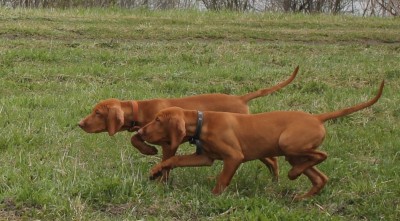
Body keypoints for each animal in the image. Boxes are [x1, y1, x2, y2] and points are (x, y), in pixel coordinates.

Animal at [77, 65, 296, 180]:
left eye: (97, 113)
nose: (79, 124)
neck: (143, 109)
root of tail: (240, 98)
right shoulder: (144, 131)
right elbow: (135, 138)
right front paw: (148, 150)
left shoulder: (169, 143)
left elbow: (166, 161)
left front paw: (160, 179)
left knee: (272, 159)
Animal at [138, 80, 384, 199]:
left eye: (158, 120)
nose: (139, 133)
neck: (202, 121)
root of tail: (316, 117)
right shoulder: (206, 158)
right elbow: (174, 160)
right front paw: (155, 171)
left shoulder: (234, 157)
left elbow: (222, 179)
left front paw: (214, 197)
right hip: (294, 154)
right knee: (320, 177)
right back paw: (301, 197)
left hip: (289, 144)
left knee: (322, 154)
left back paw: (294, 176)